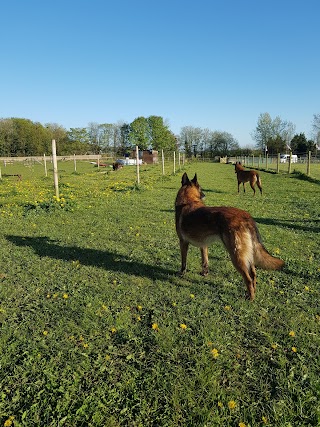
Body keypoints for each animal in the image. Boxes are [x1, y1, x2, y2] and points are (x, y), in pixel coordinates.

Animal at [176, 172, 284, 300]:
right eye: (201, 189)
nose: (204, 195)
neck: (188, 201)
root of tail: (246, 216)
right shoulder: (204, 245)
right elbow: (205, 261)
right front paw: (204, 273)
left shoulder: (183, 242)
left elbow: (184, 261)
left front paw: (182, 273)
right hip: (248, 255)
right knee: (253, 274)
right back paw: (254, 292)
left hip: (236, 256)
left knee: (247, 278)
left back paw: (250, 298)